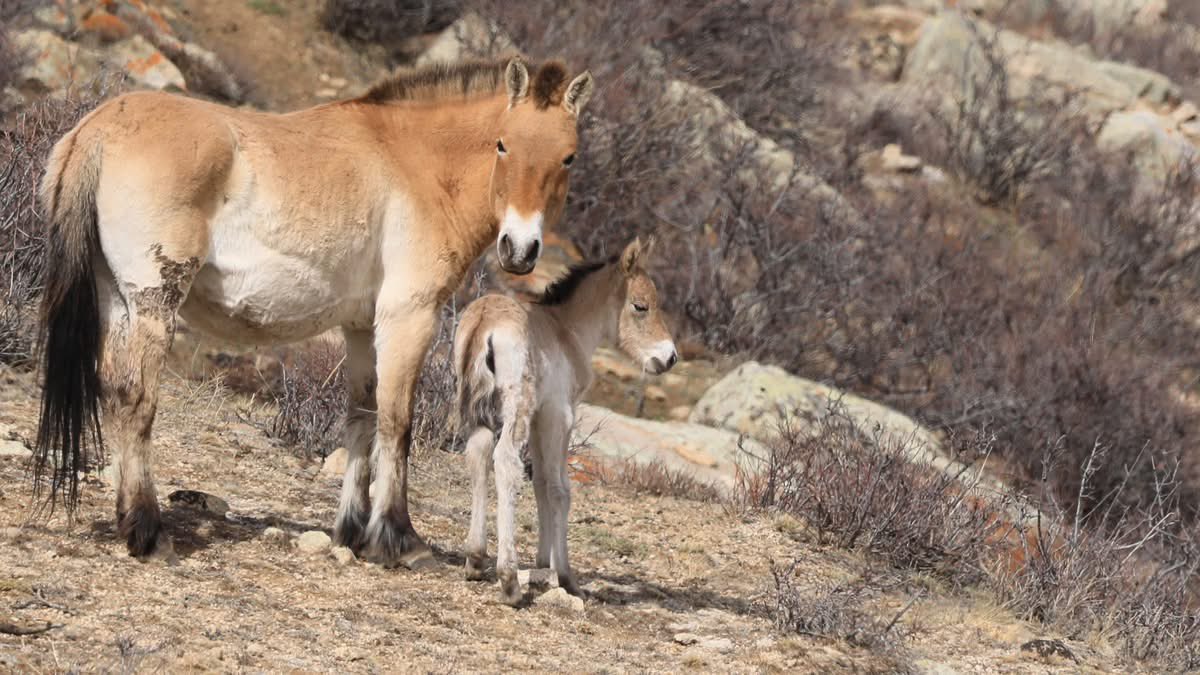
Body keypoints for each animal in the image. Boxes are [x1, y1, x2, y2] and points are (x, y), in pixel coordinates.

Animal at [33, 56, 595, 568]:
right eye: (503, 144)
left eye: (568, 157)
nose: (519, 249)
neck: (417, 165)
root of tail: (98, 129)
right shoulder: (409, 317)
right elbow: (398, 422)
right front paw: (400, 539)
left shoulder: (362, 328)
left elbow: (362, 418)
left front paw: (354, 532)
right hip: (153, 302)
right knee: (136, 397)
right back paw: (148, 532)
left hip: (117, 298)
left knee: (112, 388)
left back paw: (128, 518)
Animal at [451, 237, 677, 604]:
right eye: (640, 306)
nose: (669, 357)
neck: (565, 328)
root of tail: (485, 322)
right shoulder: (560, 414)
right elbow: (560, 489)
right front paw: (567, 576)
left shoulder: (540, 418)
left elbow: (542, 483)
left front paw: (544, 563)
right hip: (516, 406)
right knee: (505, 462)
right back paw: (509, 580)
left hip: (476, 406)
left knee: (477, 453)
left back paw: (475, 559)